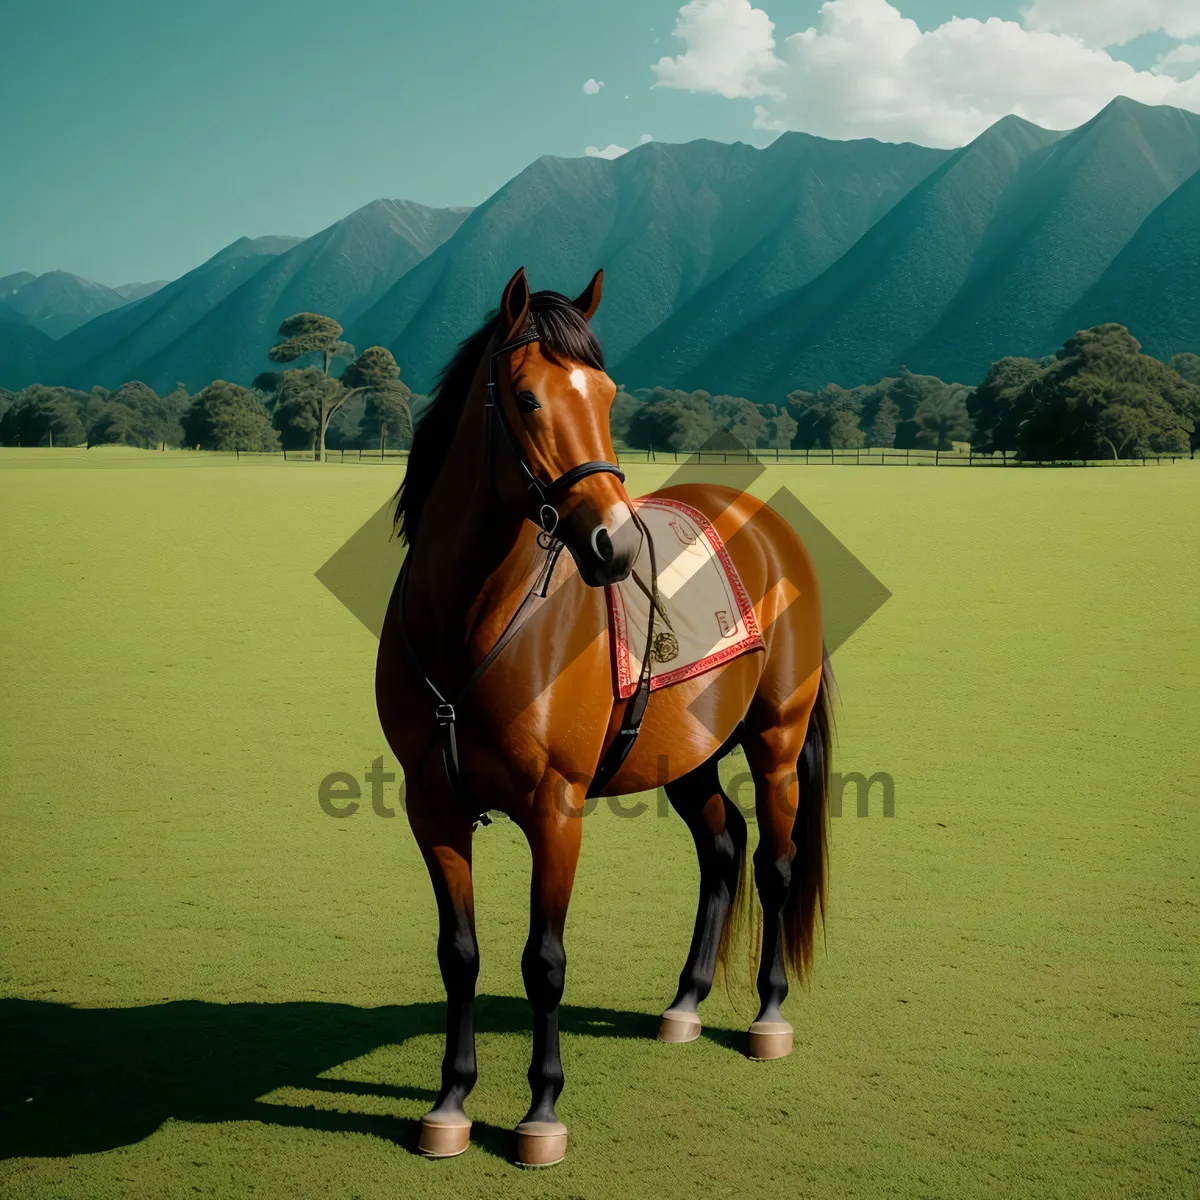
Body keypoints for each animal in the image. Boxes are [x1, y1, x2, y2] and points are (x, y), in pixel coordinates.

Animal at [376, 270, 835, 1161]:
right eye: (527, 398)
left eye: (610, 393)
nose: (615, 547)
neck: (469, 623)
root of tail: (767, 526)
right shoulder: (431, 807)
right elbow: (460, 954)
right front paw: (450, 1102)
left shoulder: (555, 809)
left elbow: (544, 960)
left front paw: (541, 1111)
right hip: (688, 753)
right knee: (723, 848)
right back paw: (685, 1003)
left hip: (776, 739)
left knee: (775, 862)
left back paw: (767, 1016)